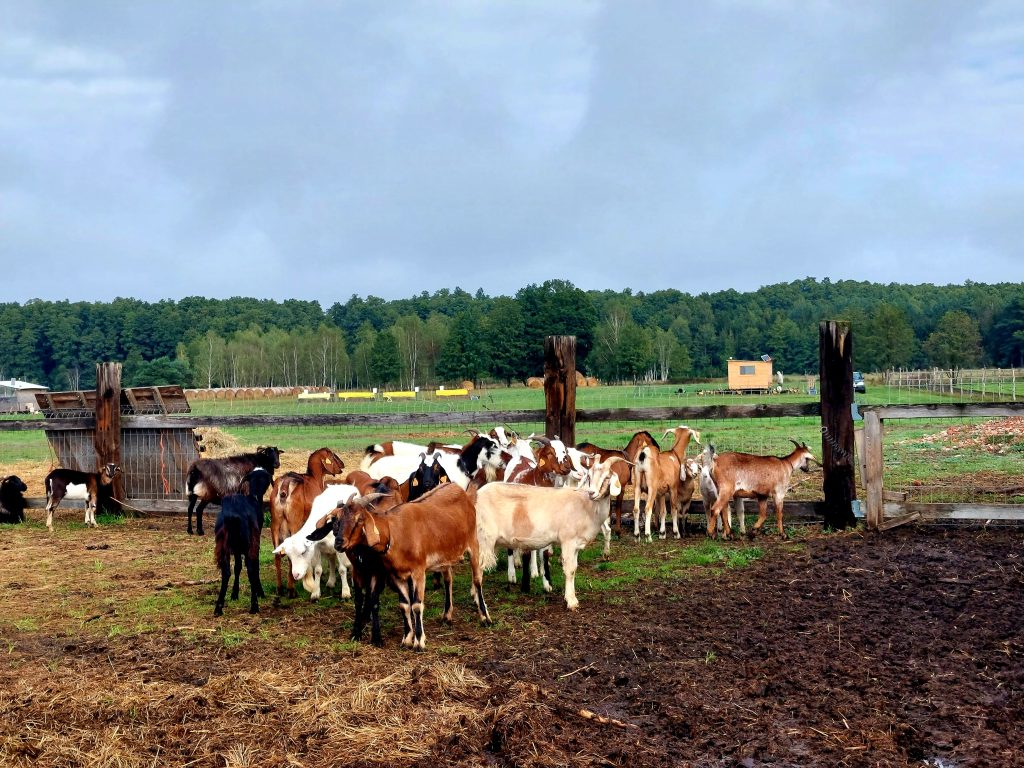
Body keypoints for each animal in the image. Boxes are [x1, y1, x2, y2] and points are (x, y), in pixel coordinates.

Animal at [214, 466, 274, 618]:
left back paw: (218, 608)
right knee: (251, 569)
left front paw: (234, 594)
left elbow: (237, 567)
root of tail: (233, 515)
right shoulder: (255, 541)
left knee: (226, 572)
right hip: (249, 542)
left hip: (224, 545)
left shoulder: (236, 548)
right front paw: (260, 592)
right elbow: (254, 566)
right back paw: (254, 606)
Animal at [270, 444, 346, 602]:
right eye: (332, 455)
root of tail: (284, 486)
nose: (342, 465)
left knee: (277, 555)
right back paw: (291, 590)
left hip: (275, 524)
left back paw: (280, 589)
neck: (313, 479)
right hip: (293, 524)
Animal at [475, 456, 626, 614]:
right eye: (589, 476)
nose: (592, 493)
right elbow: (569, 570)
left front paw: (570, 597)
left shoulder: (576, 544)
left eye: (607, 477)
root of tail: (477, 495)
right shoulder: (568, 541)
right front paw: (571, 601)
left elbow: (574, 568)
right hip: (483, 538)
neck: (586, 506)